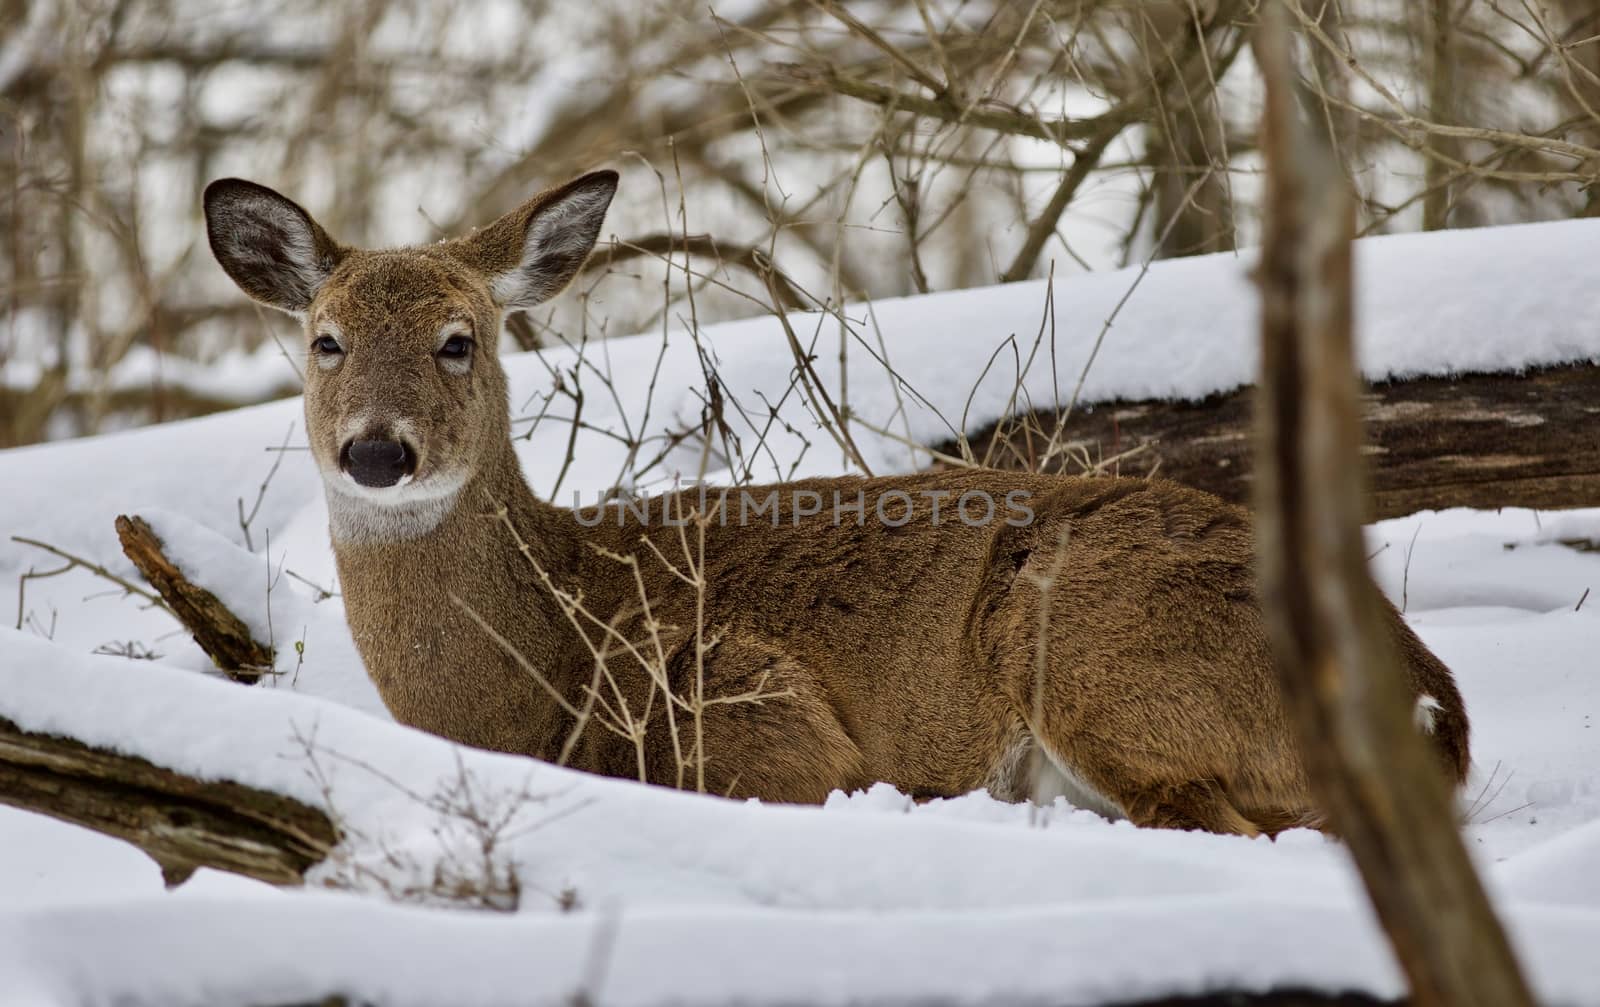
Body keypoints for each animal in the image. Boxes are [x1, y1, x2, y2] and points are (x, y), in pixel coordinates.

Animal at [203, 168, 1472, 838]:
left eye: (460, 339)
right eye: (325, 340)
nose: (377, 449)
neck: (549, 656)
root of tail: (1432, 701)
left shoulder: (761, 719)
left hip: (1104, 661)